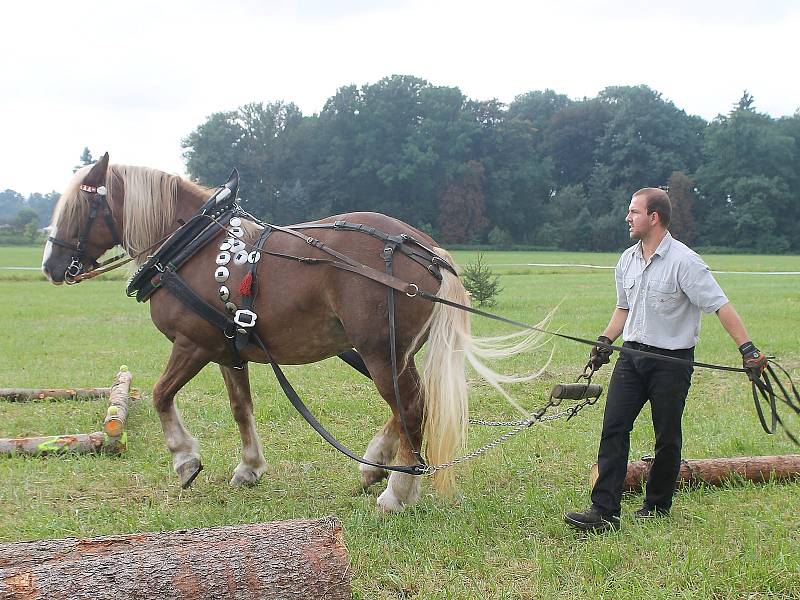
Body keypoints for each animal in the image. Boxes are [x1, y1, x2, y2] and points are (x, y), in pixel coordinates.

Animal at [40, 154, 548, 510]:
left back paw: (397, 492)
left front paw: (185, 460)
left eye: (82, 203)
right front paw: (249, 468)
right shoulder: (228, 351)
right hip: (392, 354)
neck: (191, 246)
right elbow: (241, 409)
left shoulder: (193, 344)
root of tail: (425, 250)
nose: (50, 266)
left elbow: (162, 394)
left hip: (381, 353)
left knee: (411, 410)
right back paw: (375, 468)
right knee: (406, 409)